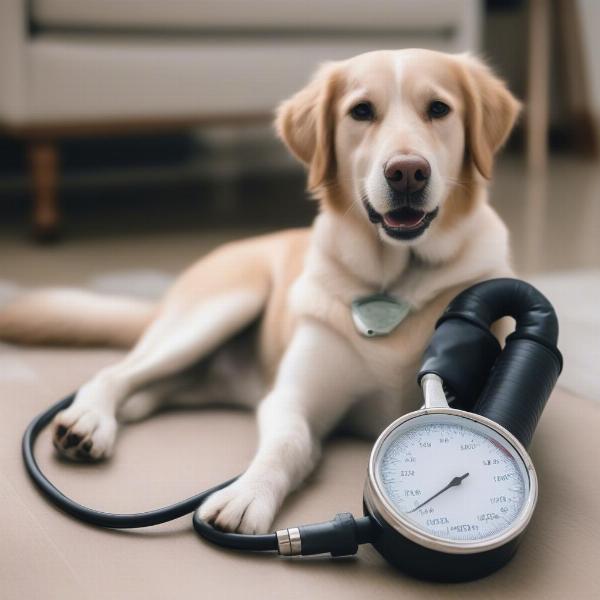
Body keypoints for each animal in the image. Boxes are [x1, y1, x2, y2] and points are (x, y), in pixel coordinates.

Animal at [0, 48, 520, 536]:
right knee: (115, 374)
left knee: (146, 392)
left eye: (438, 109)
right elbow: (289, 443)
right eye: (361, 111)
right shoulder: (292, 398)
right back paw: (89, 420)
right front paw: (246, 495)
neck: (397, 280)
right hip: (213, 313)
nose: (407, 171)